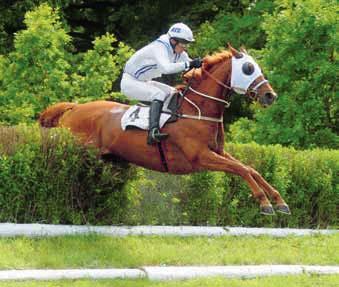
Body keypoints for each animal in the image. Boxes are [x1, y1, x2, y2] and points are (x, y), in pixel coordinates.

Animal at [38, 45, 290, 216]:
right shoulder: (201, 157)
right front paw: (265, 203)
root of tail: (74, 107)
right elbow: (242, 169)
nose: (270, 95)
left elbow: (250, 168)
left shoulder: (218, 151)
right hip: (76, 152)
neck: (197, 110)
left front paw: (279, 201)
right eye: (248, 69)